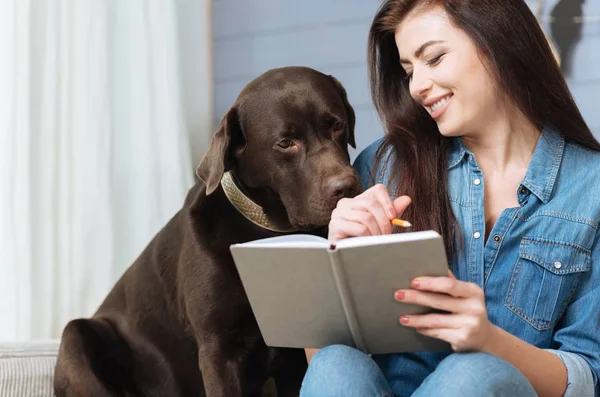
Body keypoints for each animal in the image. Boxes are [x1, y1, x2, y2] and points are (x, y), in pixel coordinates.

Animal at [54, 66, 360, 394]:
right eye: (286, 143)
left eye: (338, 125)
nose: (345, 186)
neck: (269, 233)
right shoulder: (218, 350)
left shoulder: (293, 358)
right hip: (76, 337)